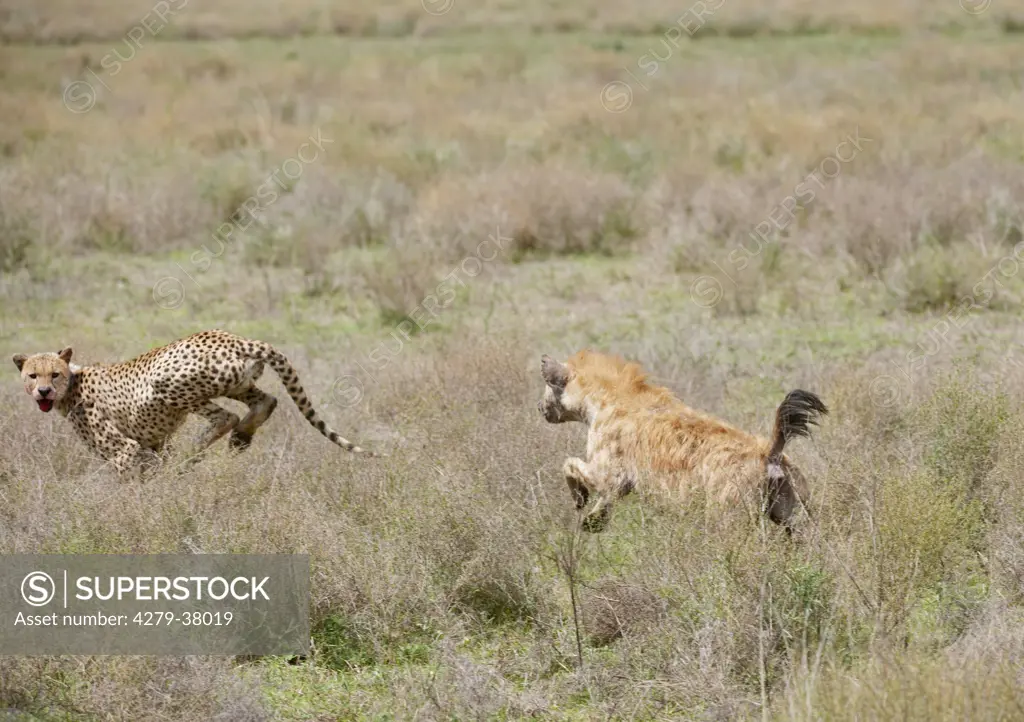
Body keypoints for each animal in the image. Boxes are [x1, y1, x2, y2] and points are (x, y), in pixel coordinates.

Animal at [11, 331, 380, 479]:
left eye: (54, 374)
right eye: (32, 374)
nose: (43, 391)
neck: (73, 383)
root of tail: (231, 337)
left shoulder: (124, 450)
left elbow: (130, 478)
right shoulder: (152, 444)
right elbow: (152, 466)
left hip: (168, 384)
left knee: (225, 417)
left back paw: (193, 455)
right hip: (239, 381)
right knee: (266, 400)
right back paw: (241, 438)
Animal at [540, 352, 827, 532]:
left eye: (545, 388)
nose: (539, 408)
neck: (603, 400)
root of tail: (770, 451)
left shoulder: (609, 470)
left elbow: (570, 464)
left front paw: (580, 500)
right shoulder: (620, 482)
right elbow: (605, 498)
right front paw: (592, 522)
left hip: (728, 512)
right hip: (794, 510)